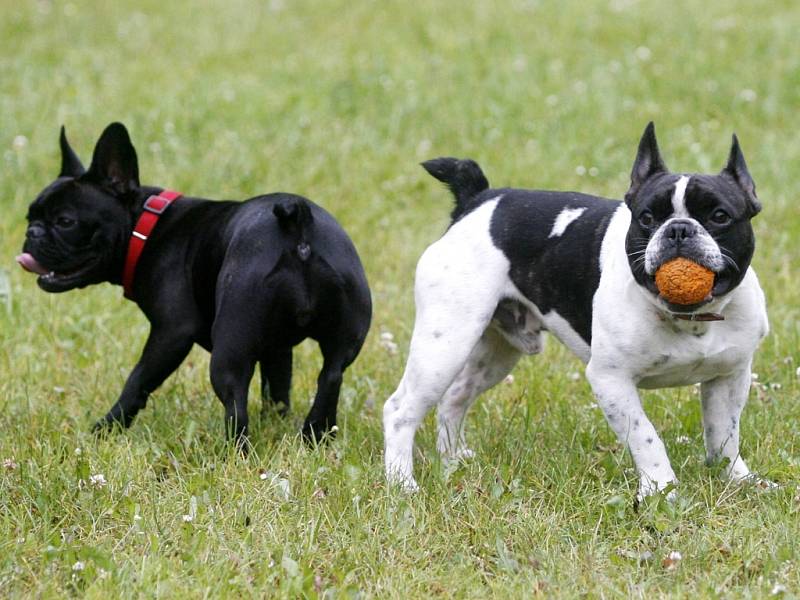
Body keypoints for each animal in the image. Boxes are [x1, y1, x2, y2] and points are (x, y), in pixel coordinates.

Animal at [384, 124, 772, 500]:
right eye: (646, 218)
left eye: (720, 216)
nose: (678, 229)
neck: (690, 319)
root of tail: (476, 202)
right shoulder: (611, 380)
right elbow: (646, 437)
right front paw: (661, 490)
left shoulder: (729, 377)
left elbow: (724, 434)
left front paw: (737, 479)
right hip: (445, 343)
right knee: (400, 409)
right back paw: (402, 483)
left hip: (495, 352)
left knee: (455, 396)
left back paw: (452, 460)